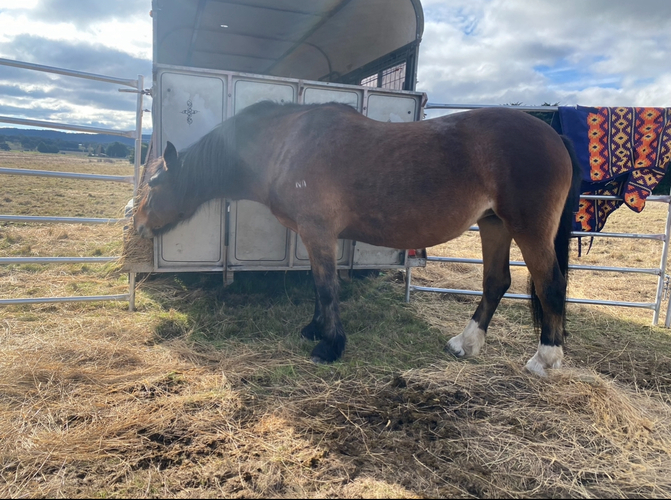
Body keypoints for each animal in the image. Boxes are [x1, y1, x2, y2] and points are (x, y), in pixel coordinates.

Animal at [134, 101, 581, 376]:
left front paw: (329, 346)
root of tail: (554, 137)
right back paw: (465, 344)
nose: (138, 223)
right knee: (495, 282)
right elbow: (319, 285)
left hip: (528, 228)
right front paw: (315, 329)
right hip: (494, 224)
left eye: (154, 184)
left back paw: (545, 359)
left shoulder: (318, 232)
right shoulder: (314, 235)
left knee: (550, 284)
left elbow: (326, 286)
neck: (285, 144)